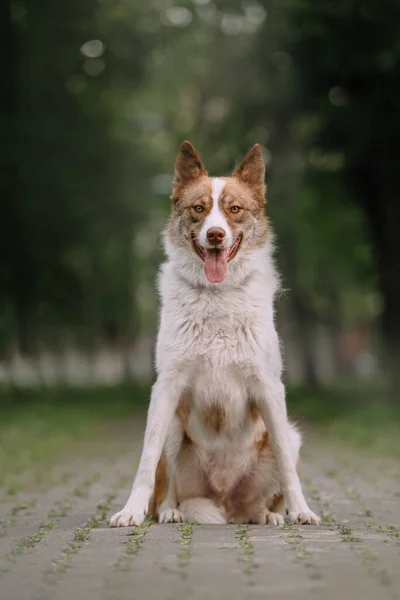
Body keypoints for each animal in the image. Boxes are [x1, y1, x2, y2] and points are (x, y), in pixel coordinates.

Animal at [110, 143, 322, 528]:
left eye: (233, 209)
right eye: (199, 208)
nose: (215, 235)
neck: (217, 295)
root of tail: (226, 504)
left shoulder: (269, 389)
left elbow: (287, 467)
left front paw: (301, 511)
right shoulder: (166, 389)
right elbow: (146, 461)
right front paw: (131, 510)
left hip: (291, 435)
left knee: (265, 488)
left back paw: (267, 514)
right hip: (174, 428)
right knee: (166, 488)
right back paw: (171, 511)